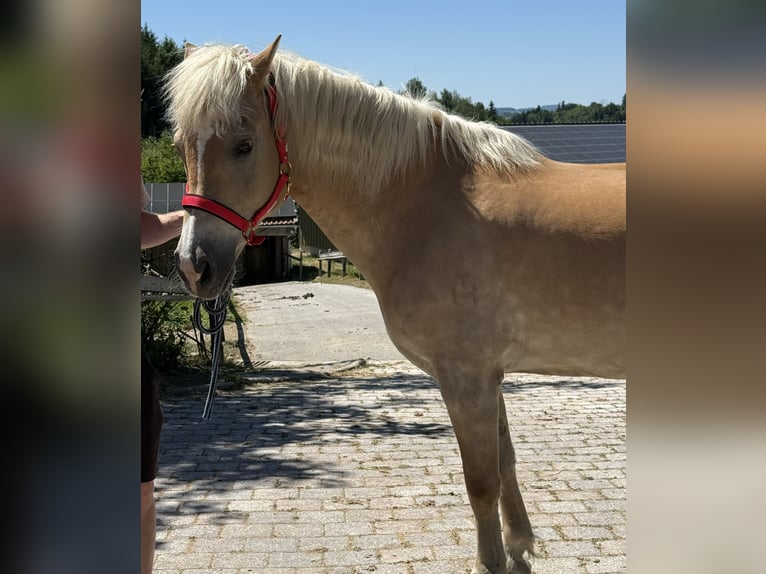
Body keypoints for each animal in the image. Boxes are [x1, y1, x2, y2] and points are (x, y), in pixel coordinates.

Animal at [164, 36, 625, 574]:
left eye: (244, 145)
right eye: (180, 144)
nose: (194, 266)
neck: (425, 208)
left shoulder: (466, 377)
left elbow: (481, 482)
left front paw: (490, 562)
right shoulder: (489, 375)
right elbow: (506, 463)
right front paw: (518, 550)